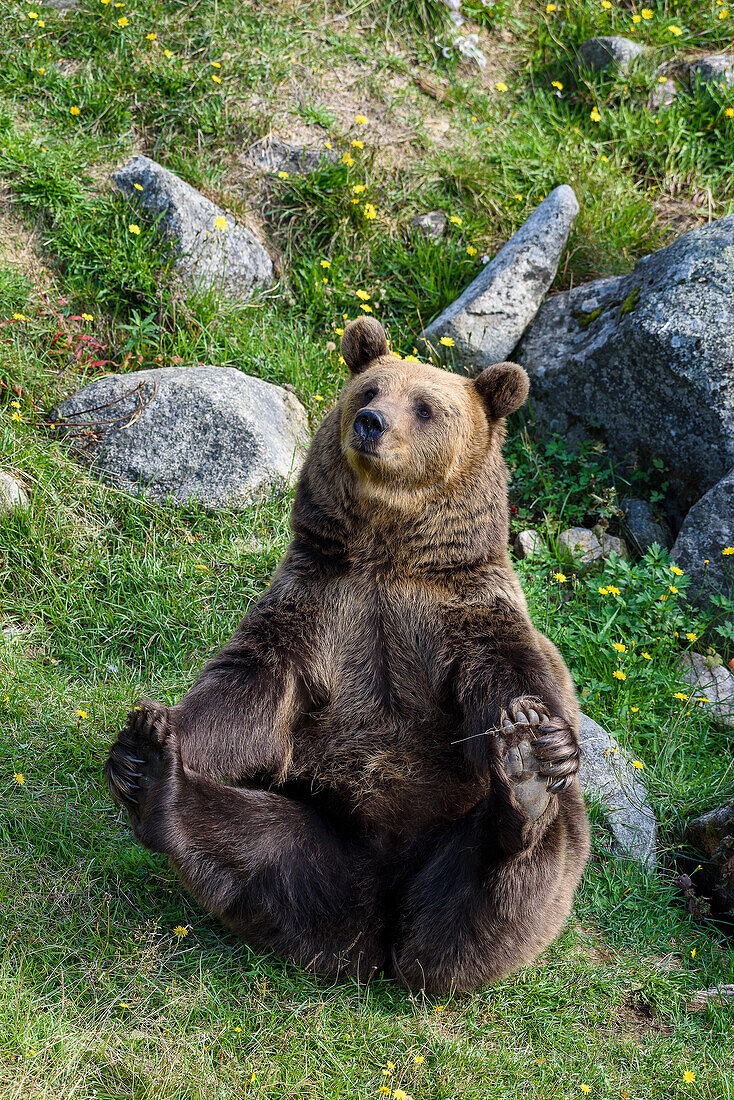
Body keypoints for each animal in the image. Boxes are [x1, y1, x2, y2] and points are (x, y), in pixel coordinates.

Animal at [106, 314, 589, 994]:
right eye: (369, 390)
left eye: (426, 406)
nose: (371, 423)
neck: (389, 552)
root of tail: (382, 932)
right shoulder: (316, 606)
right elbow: (247, 695)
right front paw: (143, 737)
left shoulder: (461, 616)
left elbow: (517, 678)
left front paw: (537, 741)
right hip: (320, 837)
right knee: (257, 844)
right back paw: (156, 779)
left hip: (501, 890)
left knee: (517, 868)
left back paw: (524, 788)